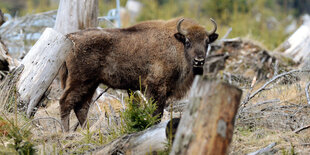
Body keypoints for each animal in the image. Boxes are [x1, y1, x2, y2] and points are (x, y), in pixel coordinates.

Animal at [58, 17, 218, 131]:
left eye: (207, 42)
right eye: (188, 41)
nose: (199, 61)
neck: (175, 44)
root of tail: (69, 38)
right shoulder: (156, 87)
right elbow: (156, 112)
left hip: (91, 83)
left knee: (81, 107)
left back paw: (88, 132)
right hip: (79, 81)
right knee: (65, 102)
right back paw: (67, 133)